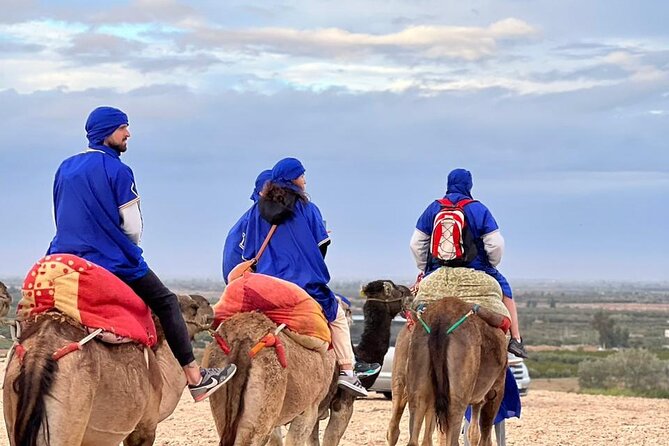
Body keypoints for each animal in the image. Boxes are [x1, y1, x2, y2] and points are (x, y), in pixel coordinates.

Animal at [386, 296, 506, 446]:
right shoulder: (496, 389)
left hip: (413, 375)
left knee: (403, 427)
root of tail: (440, 322)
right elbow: (483, 434)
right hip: (458, 389)